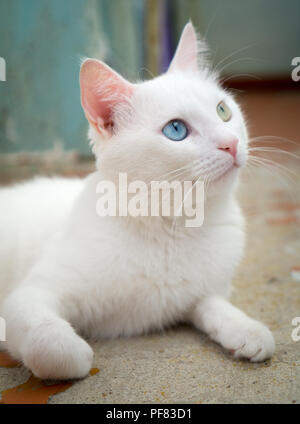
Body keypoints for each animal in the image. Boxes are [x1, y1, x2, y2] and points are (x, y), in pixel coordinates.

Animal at [0, 23, 274, 380]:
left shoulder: (202, 293)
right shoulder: (29, 297)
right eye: (176, 129)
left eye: (223, 110)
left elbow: (212, 304)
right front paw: (75, 353)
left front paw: (246, 329)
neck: (174, 226)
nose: (231, 143)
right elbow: (53, 348)